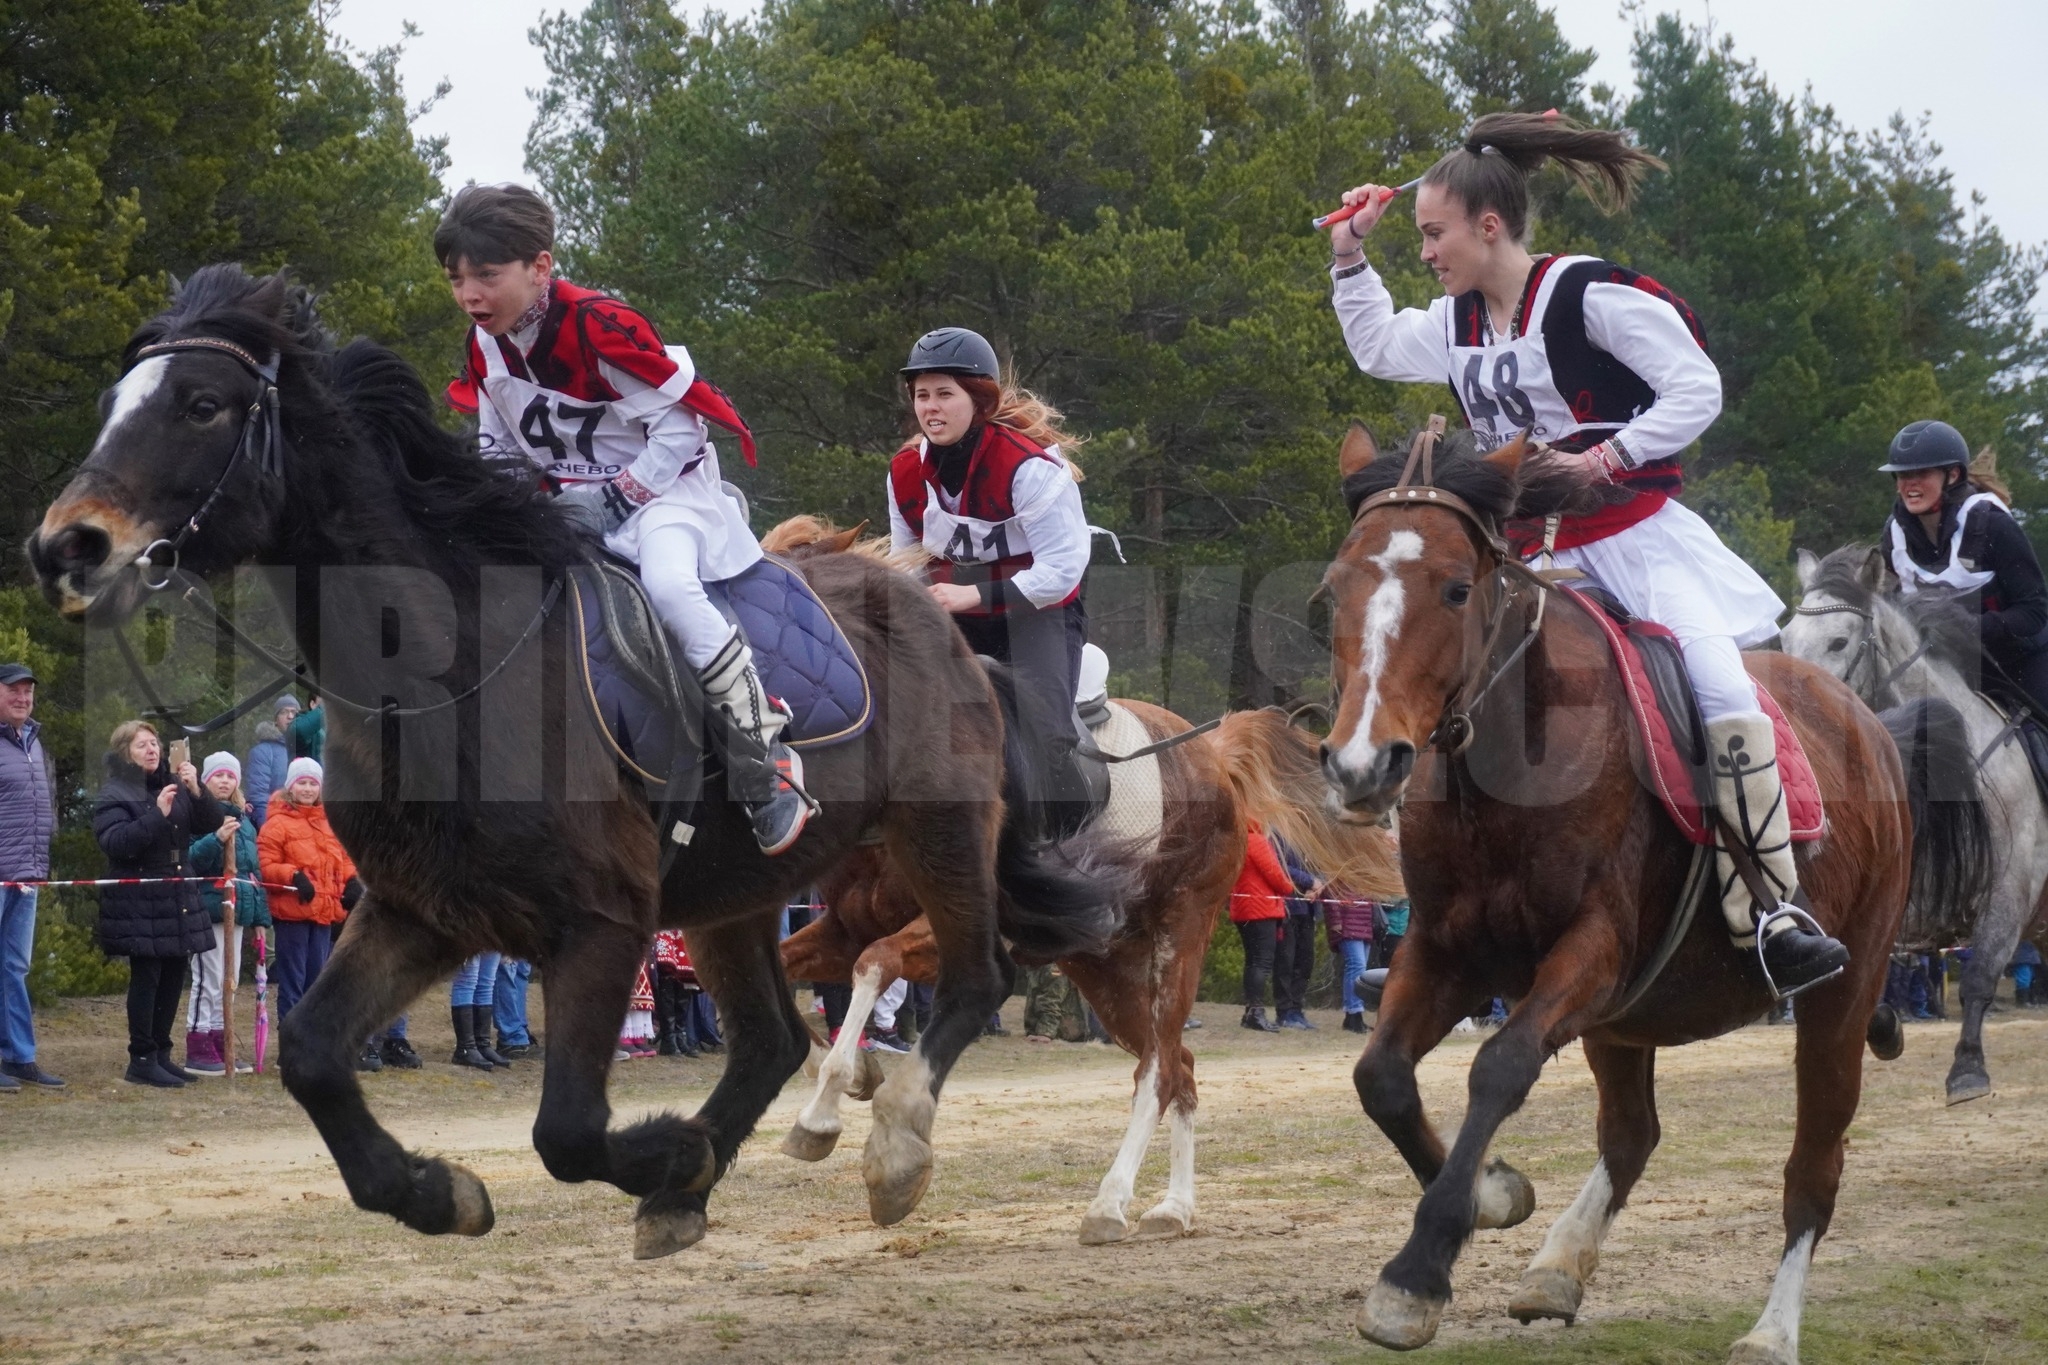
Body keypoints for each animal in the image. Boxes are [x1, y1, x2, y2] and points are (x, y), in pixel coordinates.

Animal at [770, 687, 1409, 1244]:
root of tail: (1212, 754)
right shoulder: (844, 927)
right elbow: (790, 967)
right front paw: (844, 1071)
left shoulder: (958, 934)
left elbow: (874, 962)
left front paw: (825, 1111)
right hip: (1105, 971)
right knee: (1181, 1064)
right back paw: (1173, 1208)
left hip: (1178, 938)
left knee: (1159, 1071)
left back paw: (1111, 1202)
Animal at [1310, 427, 1982, 1365]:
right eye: (1334, 587)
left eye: (1454, 587)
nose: (1361, 766)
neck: (1511, 766)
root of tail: (1871, 722)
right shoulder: (1445, 951)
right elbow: (1380, 1075)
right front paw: (1491, 1192)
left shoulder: (1592, 950)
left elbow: (1499, 1066)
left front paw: (1418, 1270)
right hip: (1624, 1021)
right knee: (1632, 1134)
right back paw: (1557, 1267)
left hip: (1839, 995)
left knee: (1814, 1167)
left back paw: (1771, 1329)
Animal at [1785, 540, 2039, 1096]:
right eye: (1786, 637)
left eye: (1839, 642)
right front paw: (1884, 1027)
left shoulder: (2012, 889)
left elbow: (1980, 974)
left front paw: (1968, 1069)